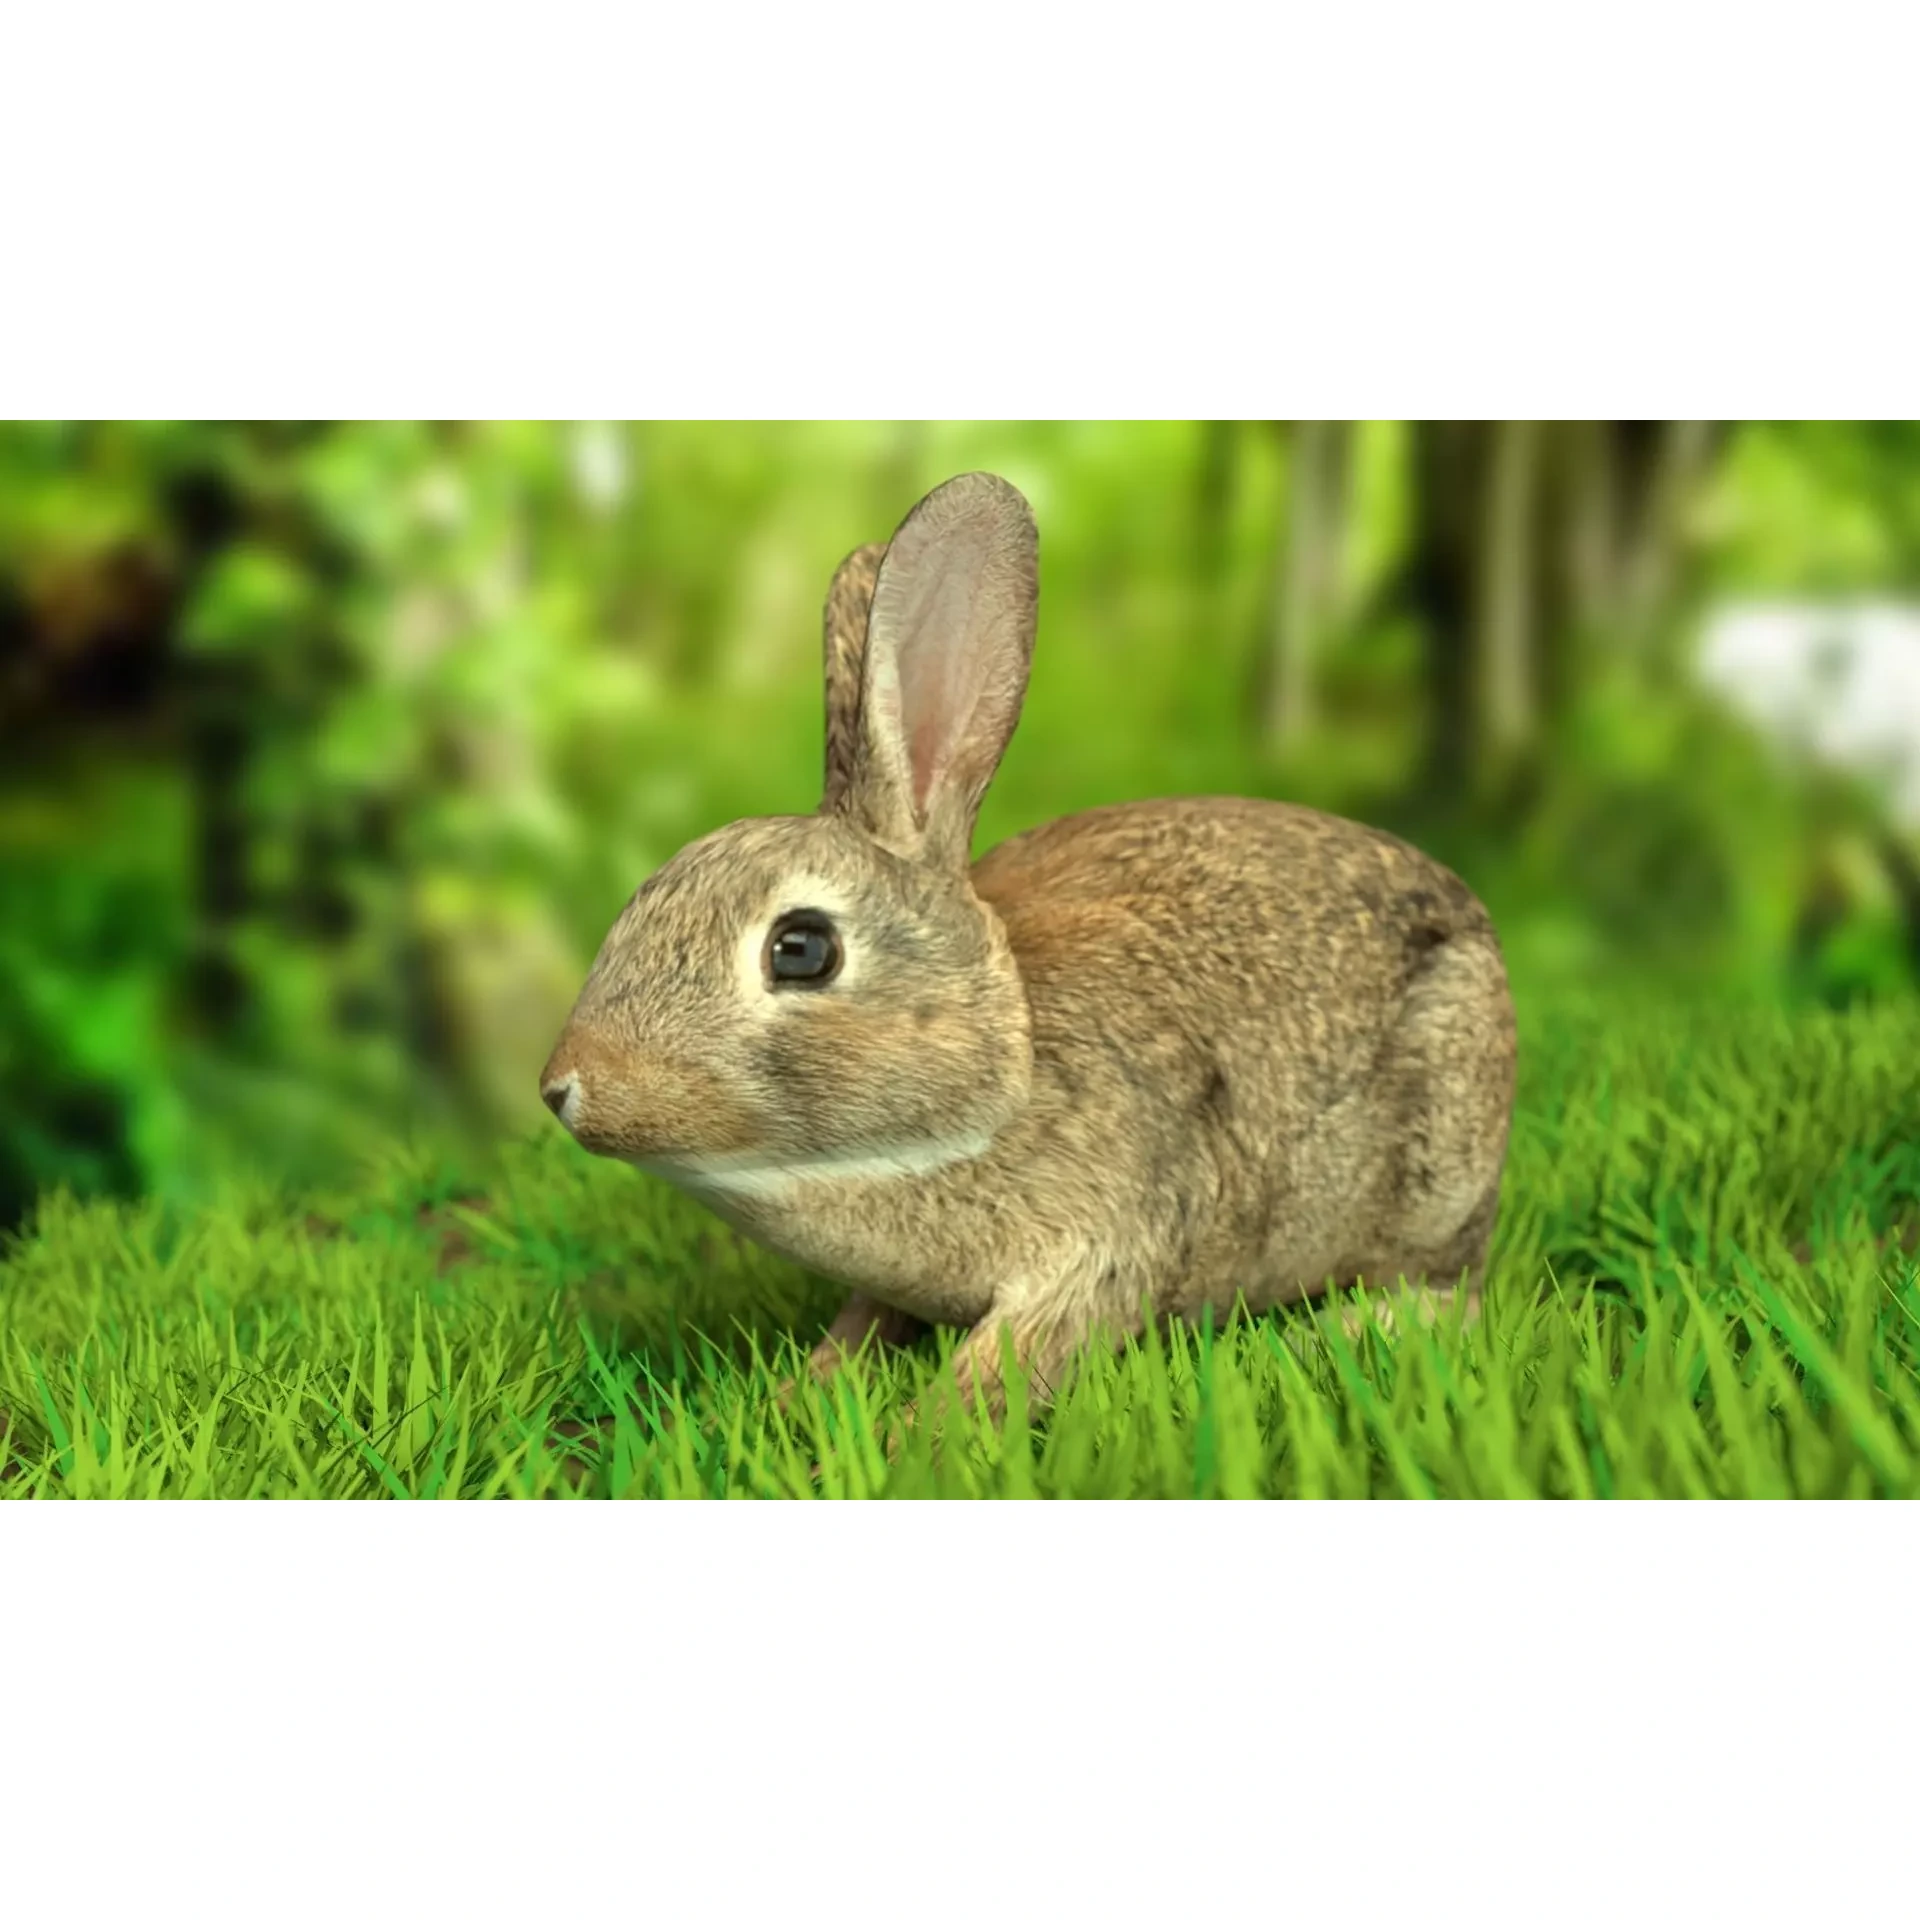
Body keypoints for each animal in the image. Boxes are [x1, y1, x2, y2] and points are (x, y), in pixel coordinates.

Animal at [540, 471, 1517, 1429]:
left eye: (802, 949)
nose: (566, 1087)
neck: (997, 1073)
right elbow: (861, 1326)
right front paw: (799, 1394)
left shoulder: (1101, 1245)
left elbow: (1004, 1370)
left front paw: (905, 1442)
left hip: (1440, 1161)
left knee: (1451, 1293)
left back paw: (1339, 1331)